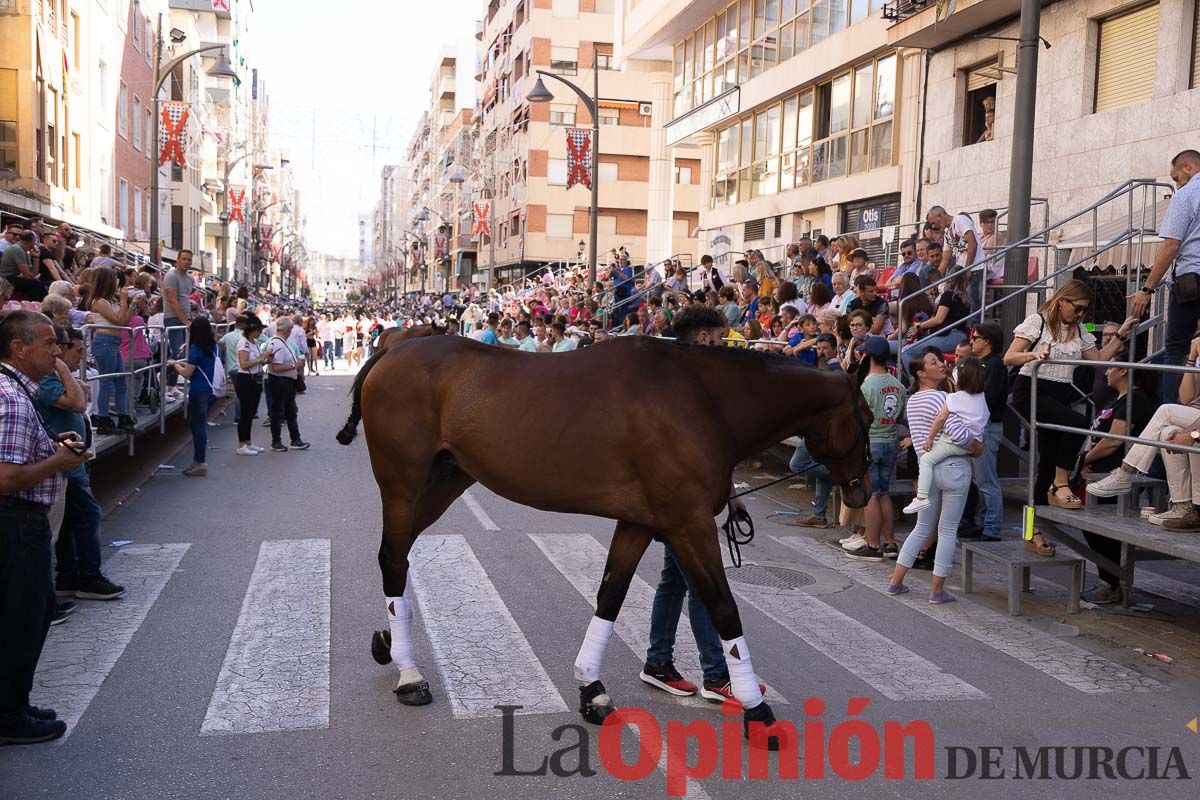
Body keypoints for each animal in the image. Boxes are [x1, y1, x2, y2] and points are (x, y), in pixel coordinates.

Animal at [338, 335, 873, 743]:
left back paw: (391, 641)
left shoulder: (640, 523)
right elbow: (722, 608)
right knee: (392, 556)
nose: (862, 492)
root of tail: (392, 350)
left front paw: (591, 688)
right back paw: (409, 673)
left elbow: (611, 596)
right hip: (404, 484)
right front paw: (757, 710)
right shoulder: (689, 524)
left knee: (399, 557)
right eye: (867, 417)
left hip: (446, 480)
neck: (702, 397)